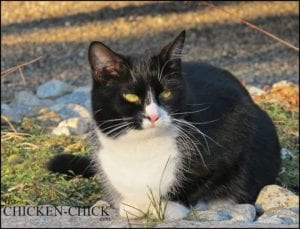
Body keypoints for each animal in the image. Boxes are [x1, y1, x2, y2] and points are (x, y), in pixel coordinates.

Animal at [48, 30, 282, 220]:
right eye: (131, 96)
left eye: (167, 93)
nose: (153, 116)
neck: (142, 147)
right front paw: (133, 205)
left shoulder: (236, 130)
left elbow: (201, 179)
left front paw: (170, 207)